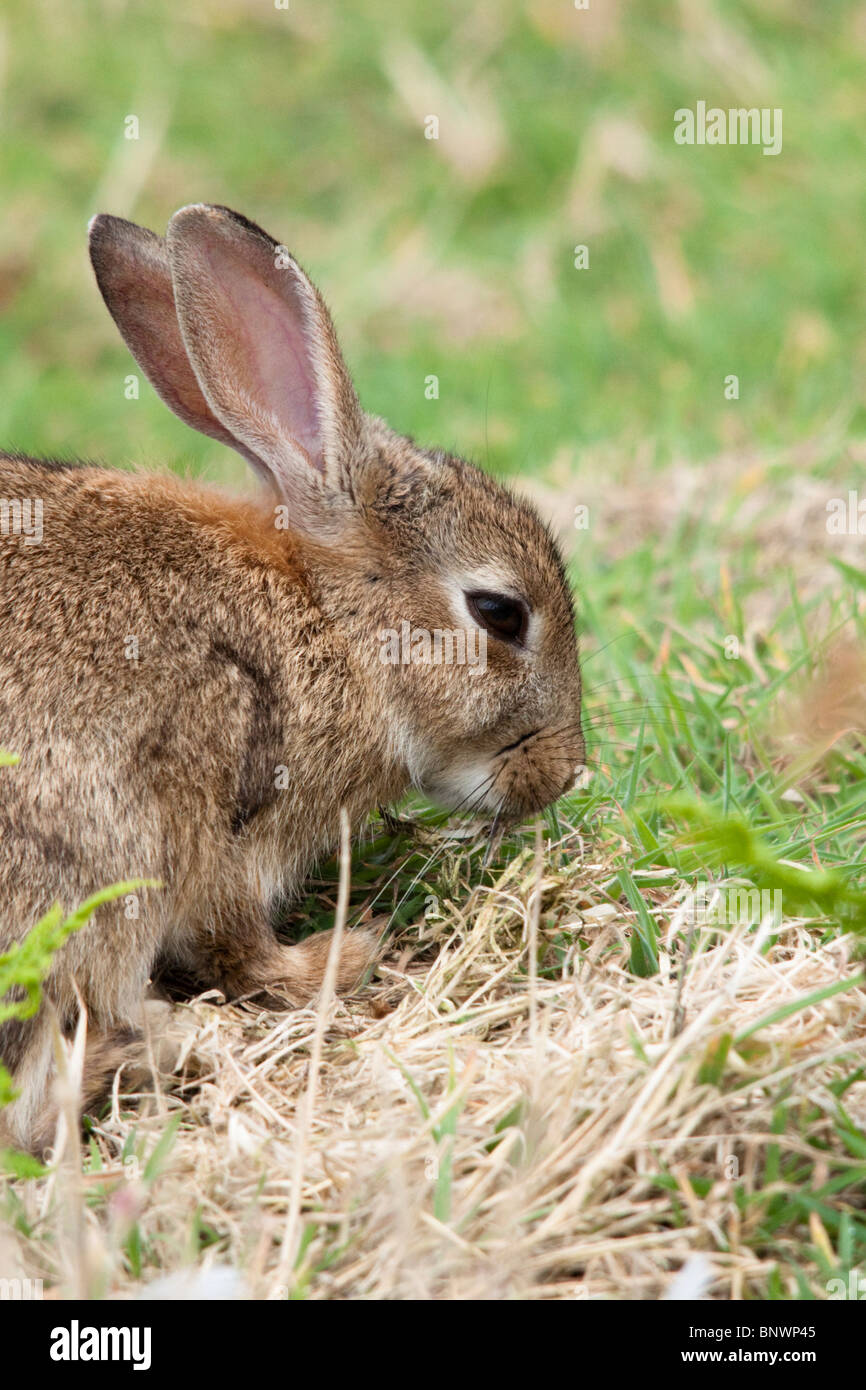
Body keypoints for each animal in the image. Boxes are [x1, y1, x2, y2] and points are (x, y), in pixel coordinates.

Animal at [0, 204, 584, 1154]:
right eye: (500, 612)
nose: (564, 772)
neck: (330, 618)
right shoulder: (208, 821)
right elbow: (235, 944)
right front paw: (340, 960)